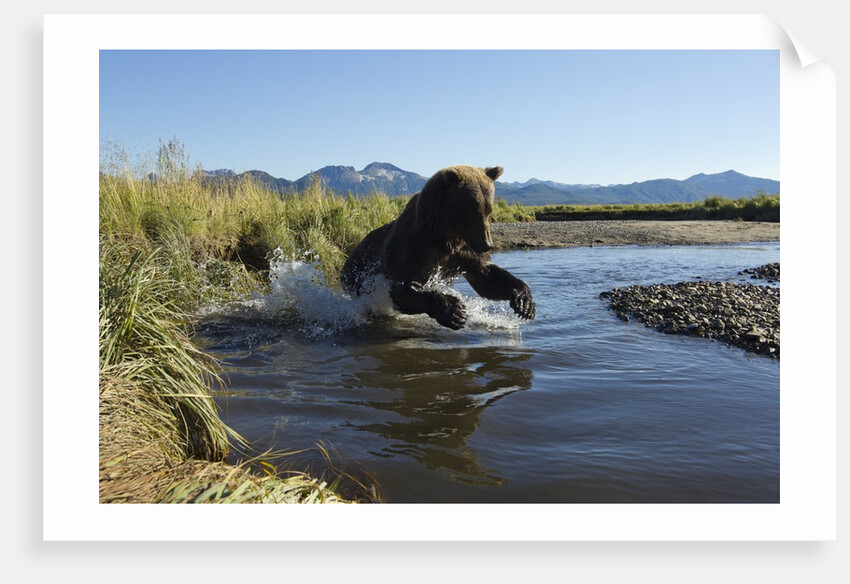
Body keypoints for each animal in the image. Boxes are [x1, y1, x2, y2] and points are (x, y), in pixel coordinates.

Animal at [340, 164, 536, 329]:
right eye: (473, 210)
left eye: (488, 210)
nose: (487, 244)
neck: (444, 235)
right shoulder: (413, 248)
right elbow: (403, 288)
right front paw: (455, 311)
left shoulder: (463, 251)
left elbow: (485, 277)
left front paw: (524, 303)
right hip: (356, 277)